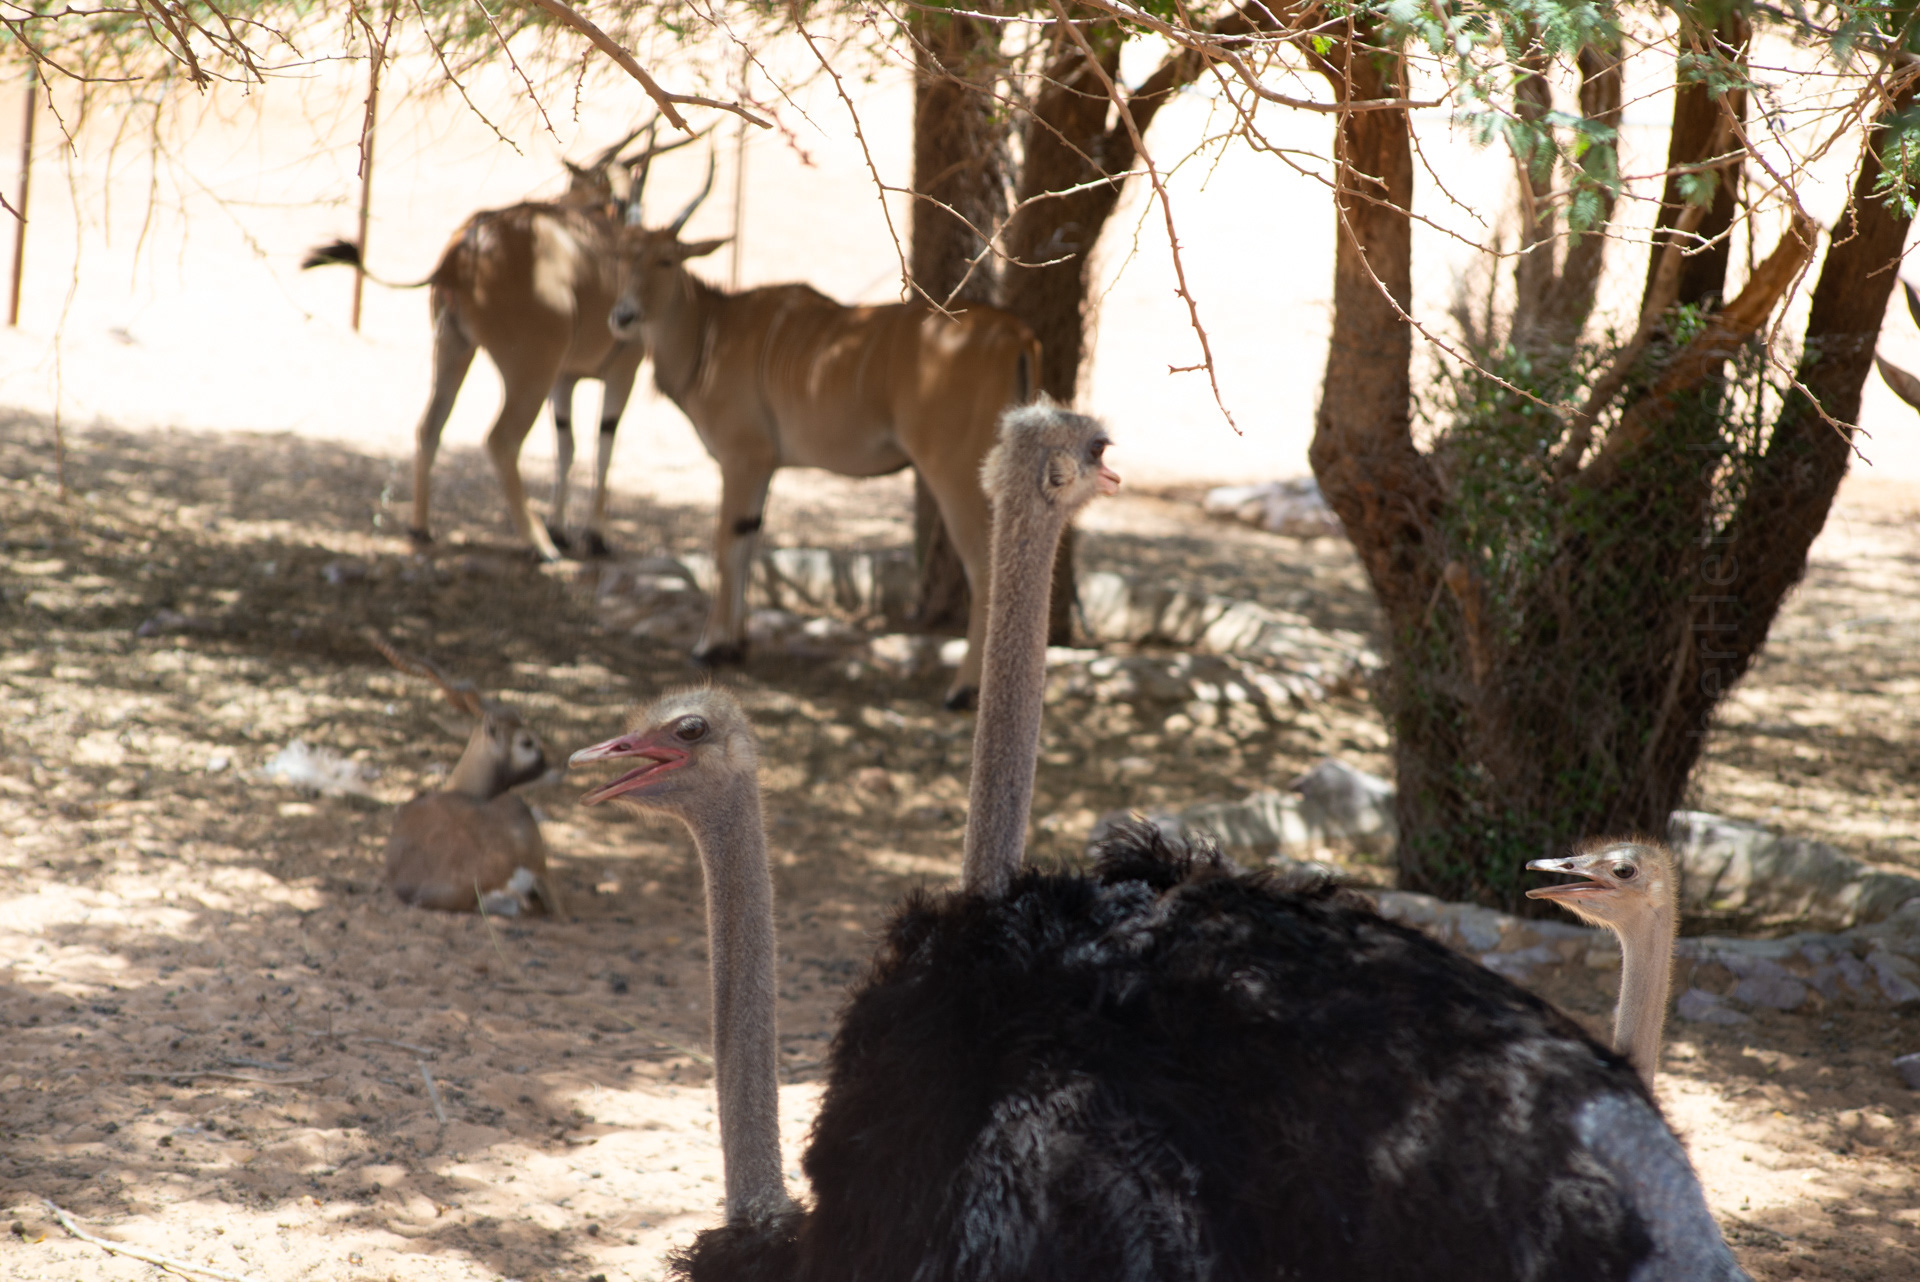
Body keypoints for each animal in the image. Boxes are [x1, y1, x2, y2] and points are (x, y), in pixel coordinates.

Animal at [303, 124, 692, 560]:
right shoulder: (620, 371)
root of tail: (462, 252)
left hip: (455, 349)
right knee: (500, 440)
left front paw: (563, 528)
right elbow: (601, 445)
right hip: (529, 373)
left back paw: (422, 528)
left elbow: (566, 445)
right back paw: (539, 544)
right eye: (614, 196)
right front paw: (592, 535)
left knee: (429, 426)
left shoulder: (565, 379)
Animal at [609, 162, 1041, 708]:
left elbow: (727, 543)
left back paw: (964, 690)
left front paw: (711, 647)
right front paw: (737, 644)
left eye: (666, 260)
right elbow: (749, 540)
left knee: (985, 566)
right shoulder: (765, 466)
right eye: (620, 256)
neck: (713, 330)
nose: (622, 316)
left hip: (954, 473)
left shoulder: (742, 457)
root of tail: (1013, 333)